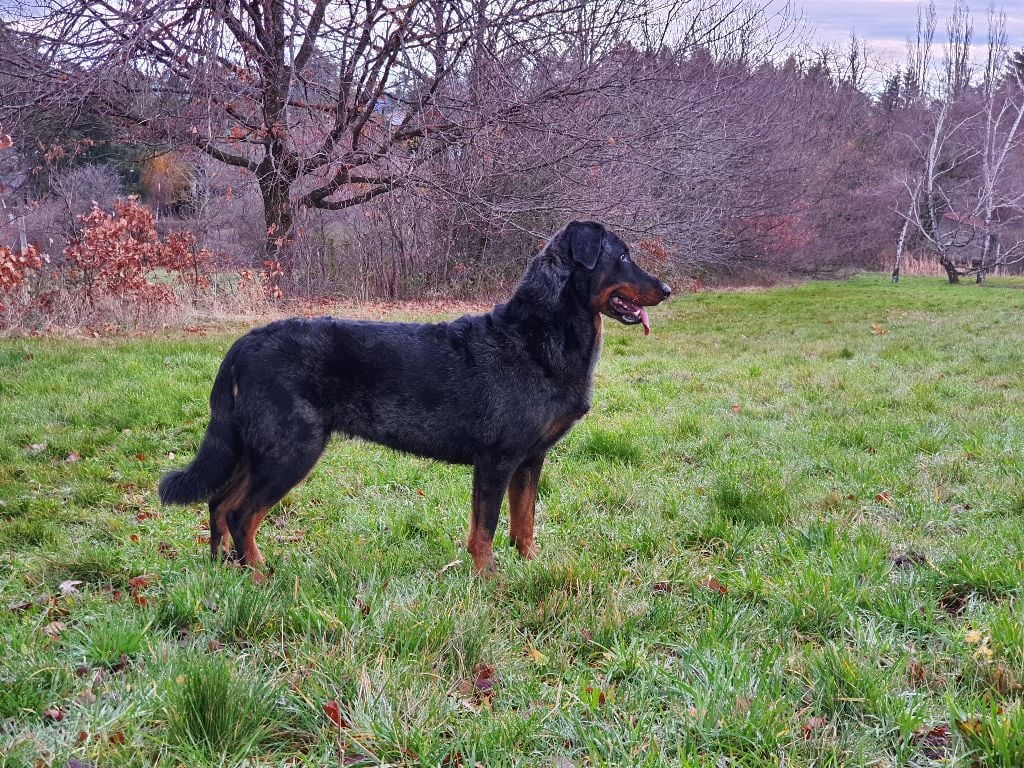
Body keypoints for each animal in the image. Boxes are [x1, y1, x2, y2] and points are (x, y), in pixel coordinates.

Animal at [159, 219, 671, 573]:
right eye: (623, 256)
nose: (667, 288)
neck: (536, 336)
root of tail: (243, 344)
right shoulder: (496, 460)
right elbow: (485, 529)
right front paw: (488, 579)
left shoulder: (530, 460)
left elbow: (523, 522)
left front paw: (529, 566)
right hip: (291, 449)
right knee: (242, 514)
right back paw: (260, 575)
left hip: (258, 448)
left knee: (219, 506)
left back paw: (224, 570)